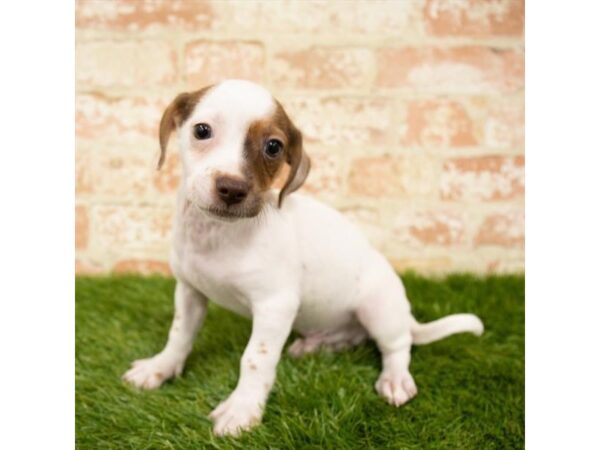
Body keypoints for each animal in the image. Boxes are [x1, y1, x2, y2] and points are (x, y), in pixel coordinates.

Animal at [122, 80, 482, 436]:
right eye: (201, 130)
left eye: (273, 147)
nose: (232, 188)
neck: (220, 234)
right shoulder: (190, 291)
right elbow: (179, 334)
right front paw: (160, 367)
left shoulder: (275, 306)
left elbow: (255, 359)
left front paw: (241, 409)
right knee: (353, 337)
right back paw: (316, 346)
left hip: (379, 307)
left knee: (397, 345)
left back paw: (394, 378)